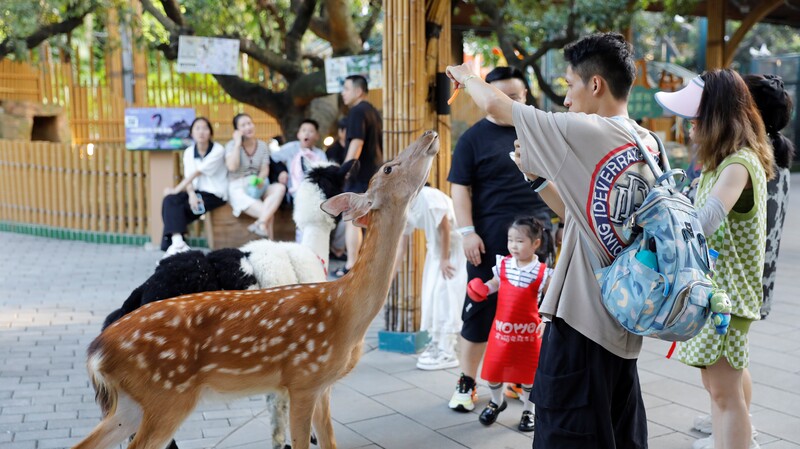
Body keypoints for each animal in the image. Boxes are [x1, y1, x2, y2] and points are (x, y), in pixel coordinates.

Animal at [72, 131, 440, 448]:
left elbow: (329, 441)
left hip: (131, 404)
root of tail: (97, 352)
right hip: (166, 395)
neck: (344, 309)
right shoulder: (303, 378)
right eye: (389, 166)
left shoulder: (324, 386)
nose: (429, 135)